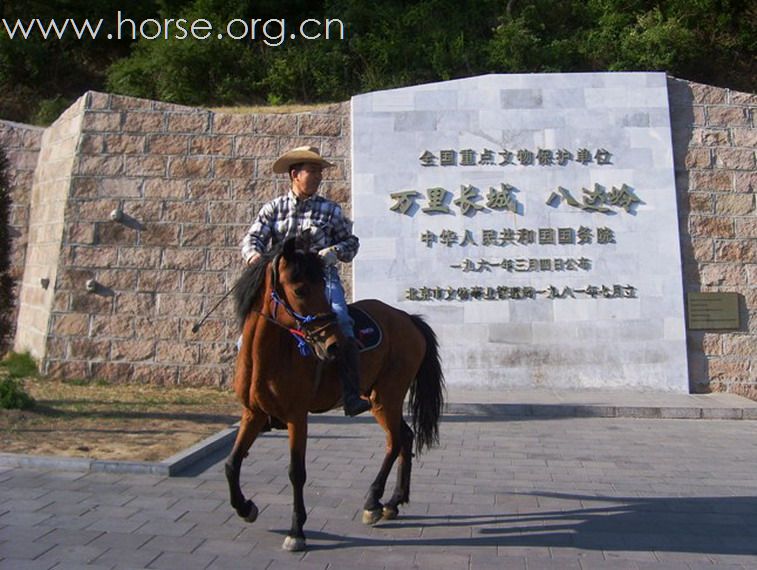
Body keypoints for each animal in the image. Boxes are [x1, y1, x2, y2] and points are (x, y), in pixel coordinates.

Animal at [227, 236, 446, 552]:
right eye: (300, 289)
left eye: (322, 286)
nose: (332, 344)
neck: (269, 356)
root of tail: (407, 318)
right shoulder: (253, 414)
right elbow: (232, 464)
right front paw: (245, 508)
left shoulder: (297, 417)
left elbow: (296, 472)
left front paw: (296, 531)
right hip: (386, 400)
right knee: (405, 437)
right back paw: (393, 502)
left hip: (386, 398)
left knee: (394, 441)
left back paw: (373, 502)